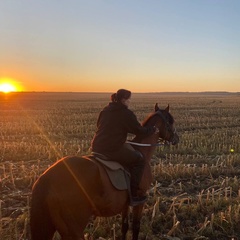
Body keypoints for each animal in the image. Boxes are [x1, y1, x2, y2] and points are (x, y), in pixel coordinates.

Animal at [30, 103, 179, 240]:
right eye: (171, 121)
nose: (177, 139)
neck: (141, 150)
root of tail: (46, 179)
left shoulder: (126, 204)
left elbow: (124, 227)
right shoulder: (140, 200)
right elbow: (136, 227)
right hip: (73, 230)